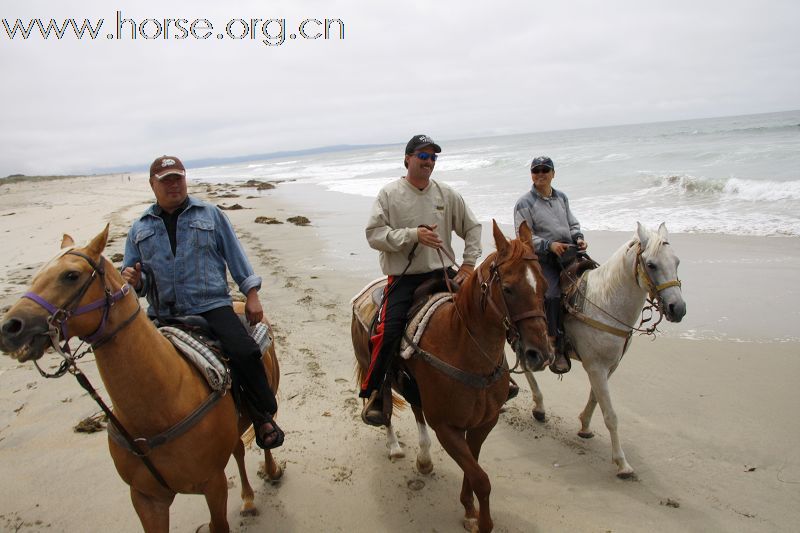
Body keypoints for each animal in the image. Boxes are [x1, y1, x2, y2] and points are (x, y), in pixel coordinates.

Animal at [0, 225, 284, 532]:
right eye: (36, 276)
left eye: (71, 275)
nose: (10, 327)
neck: (161, 405)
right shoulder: (145, 498)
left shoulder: (213, 484)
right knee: (238, 450)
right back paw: (247, 499)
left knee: (263, 429)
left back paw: (271, 470)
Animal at [354, 220, 552, 532]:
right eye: (508, 289)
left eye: (544, 285)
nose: (539, 353)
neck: (463, 349)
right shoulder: (447, 428)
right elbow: (481, 479)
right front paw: (481, 522)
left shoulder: (483, 423)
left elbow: (474, 469)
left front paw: (469, 509)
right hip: (372, 368)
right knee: (383, 406)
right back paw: (394, 446)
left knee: (416, 409)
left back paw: (424, 459)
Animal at [520, 221, 684, 478]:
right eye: (651, 264)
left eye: (676, 262)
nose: (678, 308)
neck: (605, 302)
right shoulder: (596, 367)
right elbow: (611, 415)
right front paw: (622, 463)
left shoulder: (608, 366)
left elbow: (595, 398)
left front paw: (585, 425)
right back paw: (537, 405)